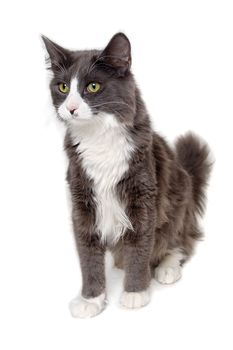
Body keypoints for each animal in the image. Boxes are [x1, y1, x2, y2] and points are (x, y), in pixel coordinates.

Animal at [41, 32, 211, 318]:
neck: (98, 137)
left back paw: (167, 266)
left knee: (180, 239)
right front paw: (91, 299)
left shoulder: (143, 197)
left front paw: (135, 292)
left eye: (93, 87)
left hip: (178, 198)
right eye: (63, 88)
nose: (71, 108)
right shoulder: (82, 202)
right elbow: (88, 255)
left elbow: (140, 248)